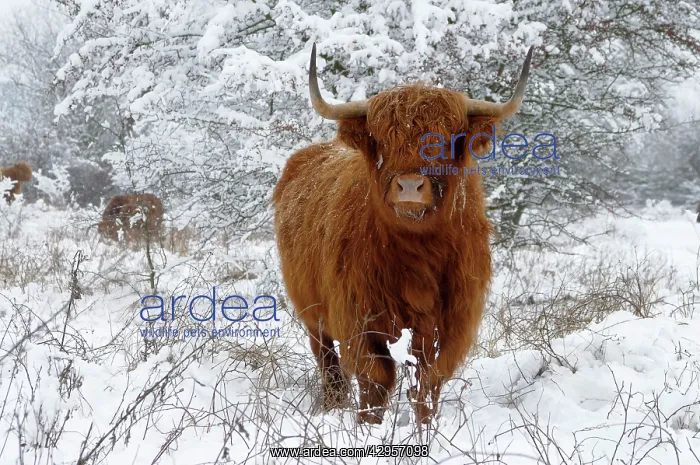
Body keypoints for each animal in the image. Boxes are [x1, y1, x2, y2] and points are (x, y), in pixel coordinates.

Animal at [272, 43, 533, 425]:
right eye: (382, 141)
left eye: (446, 140)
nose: (410, 186)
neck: (417, 256)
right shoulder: (357, 319)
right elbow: (375, 381)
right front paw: (368, 426)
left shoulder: (450, 325)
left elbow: (427, 383)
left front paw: (426, 427)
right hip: (311, 312)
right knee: (328, 361)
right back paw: (334, 403)